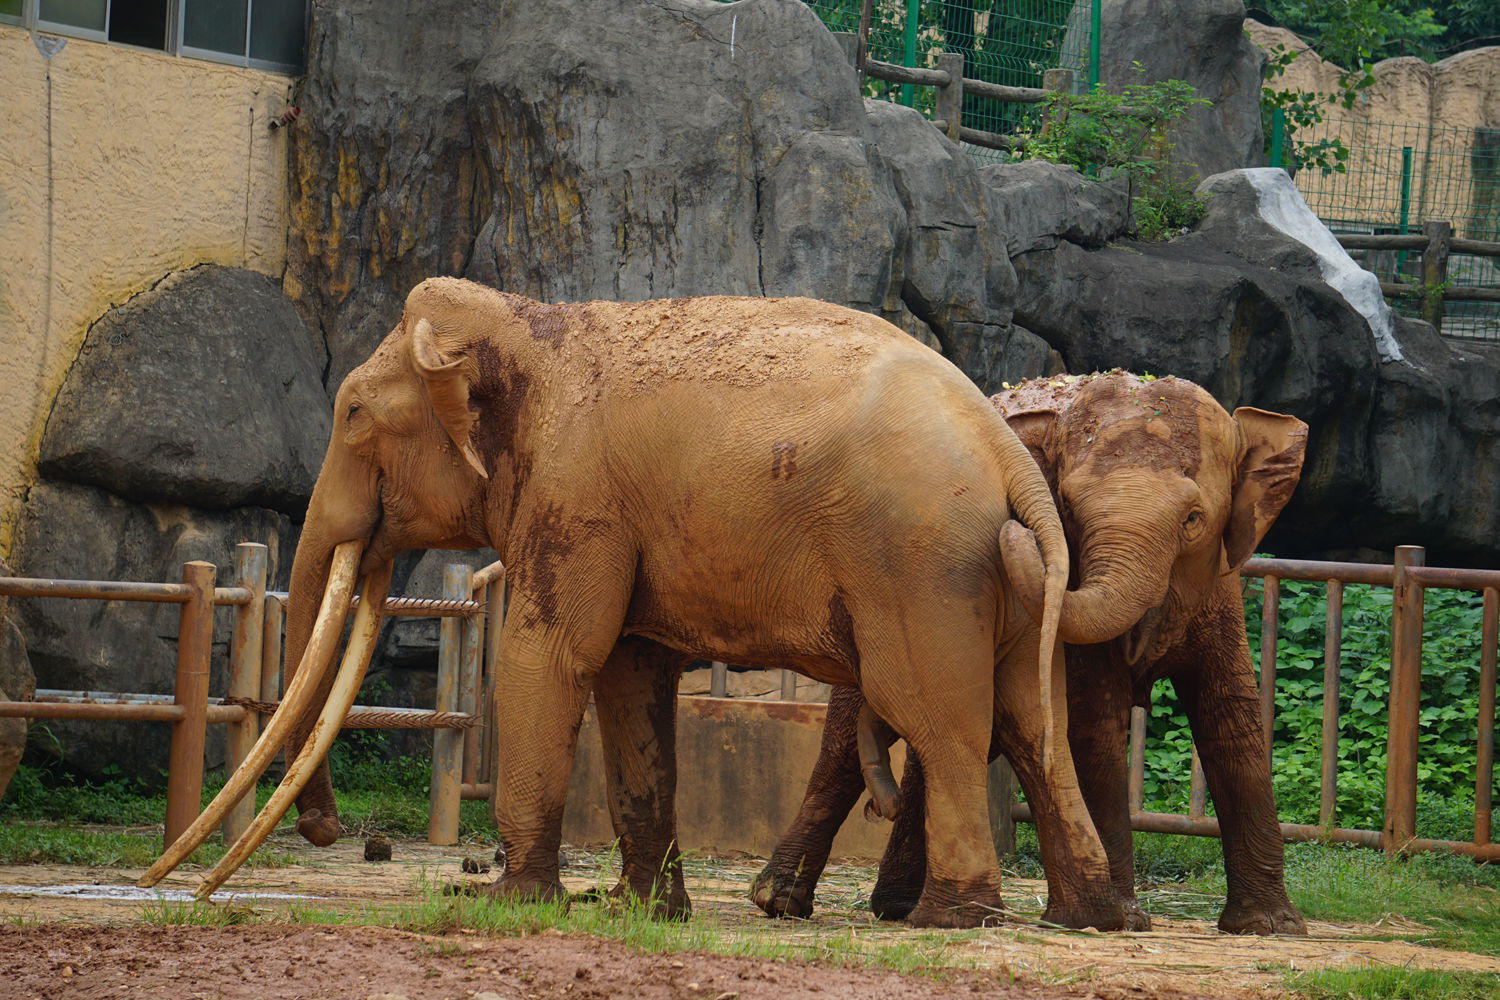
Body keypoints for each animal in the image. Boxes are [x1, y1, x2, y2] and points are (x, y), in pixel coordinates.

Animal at [170, 276, 1134, 930]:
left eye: (354, 416)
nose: (327, 830)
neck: (532, 320)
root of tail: (1007, 451)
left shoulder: (575, 493)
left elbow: (550, 657)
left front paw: (516, 900)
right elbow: (630, 681)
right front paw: (643, 909)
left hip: (918, 562)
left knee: (940, 720)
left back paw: (951, 918)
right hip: (993, 574)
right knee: (1028, 723)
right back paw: (1086, 918)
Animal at [750, 370, 1310, 936]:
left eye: (1194, 519)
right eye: (1070, 510)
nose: (1015, 528)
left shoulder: (1222, 583)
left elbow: (1233, 723)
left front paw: (1271, 927)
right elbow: (1093, 727)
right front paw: (1128, 921)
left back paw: (899, 906)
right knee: (849, 740)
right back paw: (785, 901)